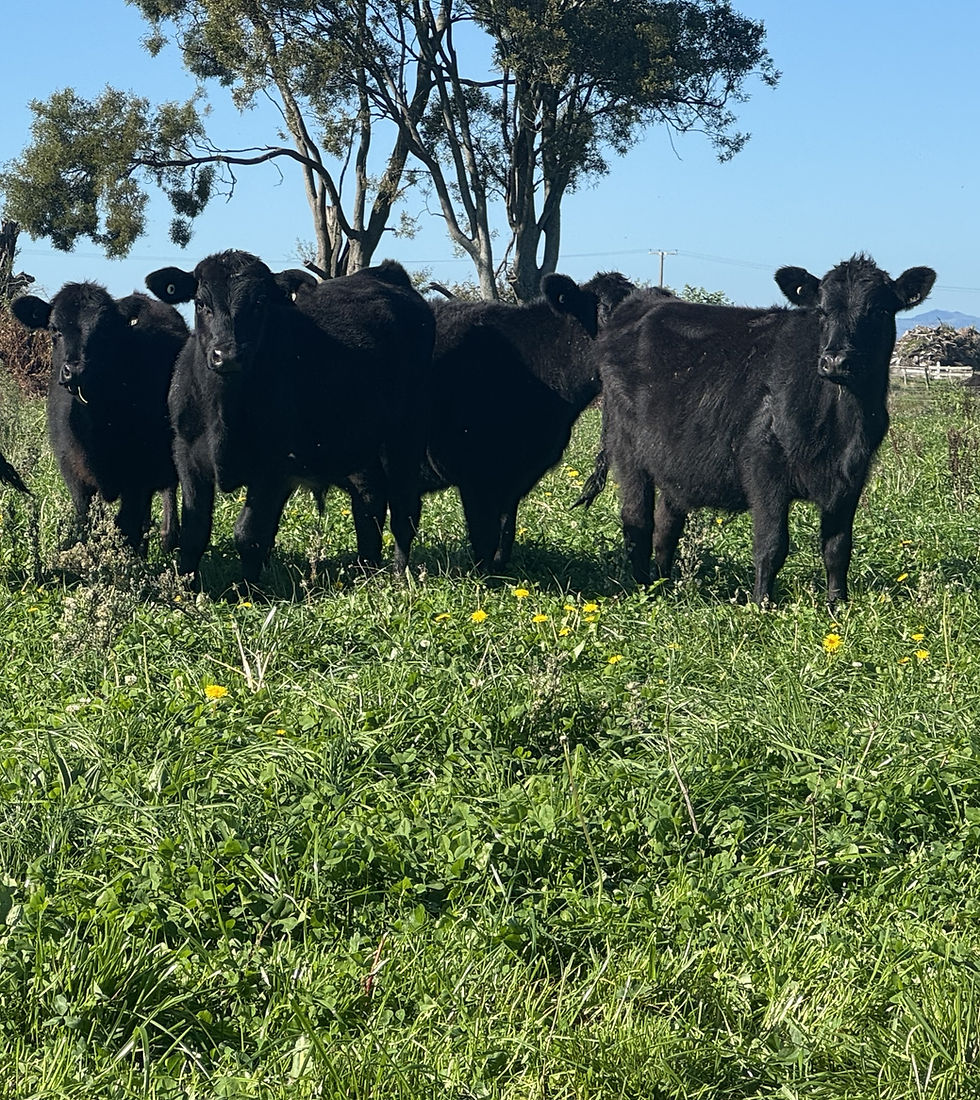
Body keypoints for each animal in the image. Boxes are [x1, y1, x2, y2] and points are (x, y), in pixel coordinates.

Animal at [11, 283, 187, 552]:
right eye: (55, 329)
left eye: (104, 330)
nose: (75, 370)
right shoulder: (75, 475)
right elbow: (88, 522)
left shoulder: (138, 477)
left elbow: (127, 527)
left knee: (169, 489)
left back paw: (169, 538)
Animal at [145, 251, 434, 587]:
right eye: (201, 303)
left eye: (259, 304)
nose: (227, 355)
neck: (224, 415)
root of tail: (386, 272)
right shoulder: (186, 453)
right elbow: (194, 532)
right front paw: (186, 588)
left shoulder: (275, 466)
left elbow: (250, 535)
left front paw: (248, 592)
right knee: (369, 501)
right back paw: (366, 569)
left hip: (406, 432)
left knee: (404, 508)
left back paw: (400, 576)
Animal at [423, 271, 639, 570]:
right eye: (606, 310)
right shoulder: (475, 472)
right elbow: (484, 533)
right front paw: (483, 576)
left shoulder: (518, 472)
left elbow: (506, 530)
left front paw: (500, 570)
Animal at [575, 255, 936, 606]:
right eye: (821, 311)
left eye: (879, 311)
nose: (835, 361)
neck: (840, 424)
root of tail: (644, 300)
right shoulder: (764, 469)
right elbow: (772, 545)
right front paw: (762, 605)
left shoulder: (851, 477)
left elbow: (838, 548)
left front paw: (838, 605)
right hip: (628, 451)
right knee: (636, 518)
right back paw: (642, 588)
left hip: (672, 460)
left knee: (666, 525)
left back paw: (665, 585)